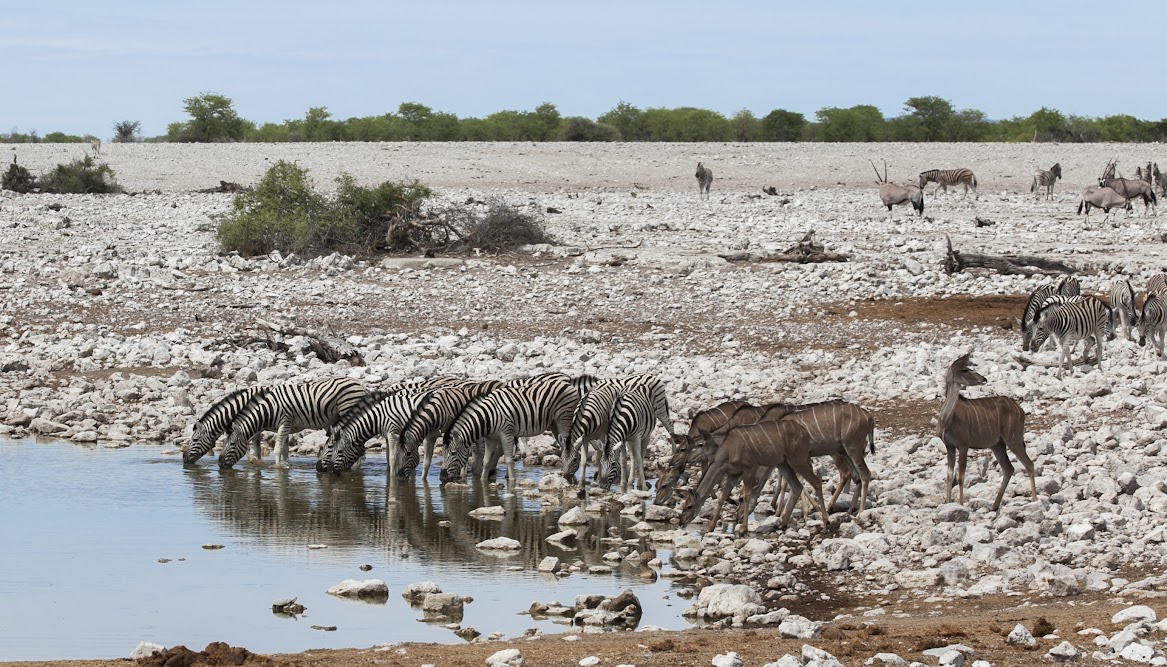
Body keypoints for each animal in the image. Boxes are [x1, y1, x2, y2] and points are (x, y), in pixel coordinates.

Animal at [217, 377, 366, 466]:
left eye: (232, 444)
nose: (219, 463)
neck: (268, 410)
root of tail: (359, 384)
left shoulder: (285, 422)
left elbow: (277, 448)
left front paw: (277, 468)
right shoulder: (285, 426)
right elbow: (284, 450)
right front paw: (285, 465)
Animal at [438, 380, 578, 485]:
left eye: (453, 453)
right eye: (443, 453)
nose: (442, 477)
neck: (488, 417)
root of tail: (568, 384)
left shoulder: (506, 433)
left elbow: (509, 459)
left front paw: (511, 481)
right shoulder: (490, 438)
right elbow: (486, 460)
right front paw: (482, 481)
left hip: (564, 420)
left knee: (569, 444)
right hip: (554, 424)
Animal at [676, 422, 830, 536]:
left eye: (689, 506)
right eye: (683, 506)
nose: (681, 522)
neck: (728, 450)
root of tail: (804, 432)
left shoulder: (749, 468)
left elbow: (747, 495)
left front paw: (743, 529)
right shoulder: (733, 474)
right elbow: (722, 498)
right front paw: (710, 527)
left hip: (798, 459)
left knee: (816, 482)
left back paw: (826, 521)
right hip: (783, 463)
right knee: (797, 486)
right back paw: (783, 523)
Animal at [938, 354, 1040, 510]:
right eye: (964, 369)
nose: (984, 379)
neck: (948, 419)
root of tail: (1020, 409)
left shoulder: (963, 445)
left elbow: (960, 476)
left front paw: (960, 505)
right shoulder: (949, 446)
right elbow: (950, 475)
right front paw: (948, 503)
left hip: (1013, 440)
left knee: (1029, 464)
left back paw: (1034, 499)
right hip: (997, 445)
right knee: (1009, 469)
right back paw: (994, 506)